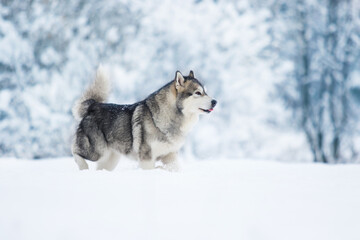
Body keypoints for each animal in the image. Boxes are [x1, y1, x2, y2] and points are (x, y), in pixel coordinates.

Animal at [70, 65, 217, 171]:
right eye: (197, 93)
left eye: (205, 92)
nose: (215, 102)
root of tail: (93, 105)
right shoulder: (147, 158)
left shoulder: (170, 155)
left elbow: (175, 168)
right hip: (96, 151)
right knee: (75, 151)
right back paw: (83, 167)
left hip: (110, 159)